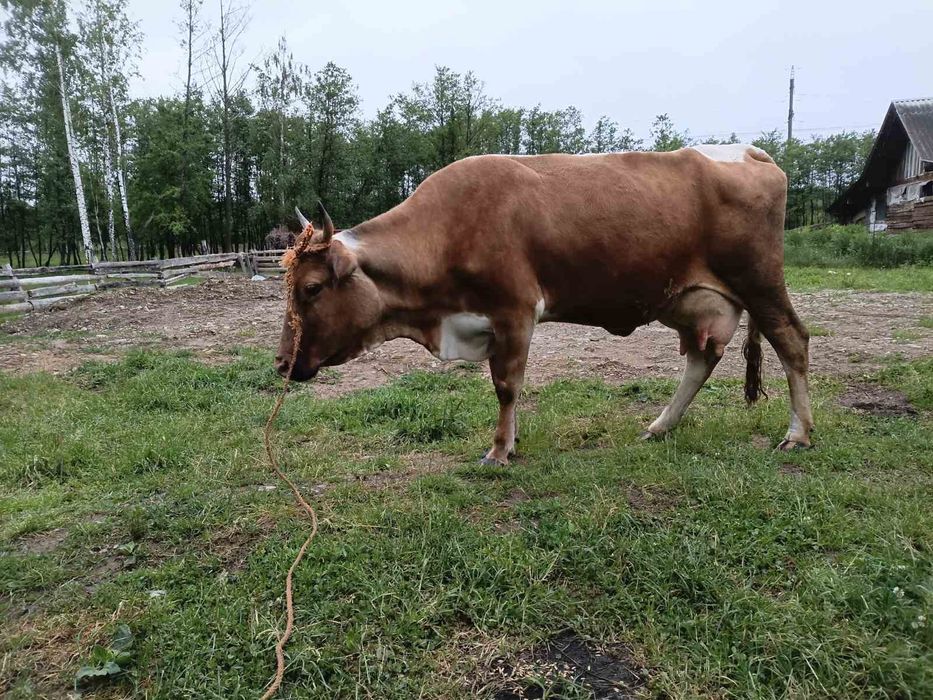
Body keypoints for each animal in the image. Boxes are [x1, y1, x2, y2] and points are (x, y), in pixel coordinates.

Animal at [275, 144, 813, 465]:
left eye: (312, 289)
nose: (281, 363)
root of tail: (749, 151)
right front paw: (508, 443)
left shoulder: (514, 310)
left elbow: (506, 385)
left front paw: (499, 450)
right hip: (693, 300)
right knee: (702, 358)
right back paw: (661, 426)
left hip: (761, 282)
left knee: (792, 341)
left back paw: (799, 433)